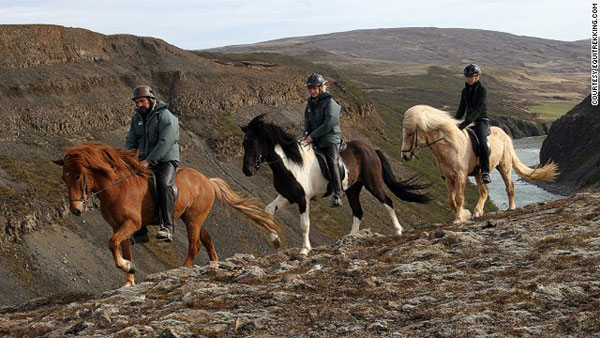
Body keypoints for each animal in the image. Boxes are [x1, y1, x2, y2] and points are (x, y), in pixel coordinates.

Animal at [50, 141, 280, 286]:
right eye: (64, 178)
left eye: (78, 176)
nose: (76, 210)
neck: (118, 187)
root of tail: (207, 180)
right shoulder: (119, 227)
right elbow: (123, 248)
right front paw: (129, 276)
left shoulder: (130, 224)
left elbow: (112, 243)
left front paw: (126, 266)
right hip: (192, 218)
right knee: (207, 239)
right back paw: (214, 264)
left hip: (193, 220)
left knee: (195, 245)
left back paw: (182, 269)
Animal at [241, 114, 428, 256]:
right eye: (244, 143)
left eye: (255, 143)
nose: (246, 171)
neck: (290, 163)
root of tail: (372, 149)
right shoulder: (287, 196)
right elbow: (267, 211)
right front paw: (275, 240)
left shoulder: (303, 199)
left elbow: (305, 224)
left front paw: (304, 250)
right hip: (353, 188)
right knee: (358, 211)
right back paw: (350, 239)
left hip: (372, 183)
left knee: (387, 201)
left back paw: (398, 231)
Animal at [400, 104, 560, 223]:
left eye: (410, 133)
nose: (404, 156)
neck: (449, 146)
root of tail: (505, 134)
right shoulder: (449, 178)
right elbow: (451, 199)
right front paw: (465, 214)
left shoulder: (460, 176)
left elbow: (459, 198)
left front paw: (459, 218)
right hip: (479, 173)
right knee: (484, 192)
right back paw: (478, 211)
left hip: (504, 167)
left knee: (510, 187)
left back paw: (511, 207)